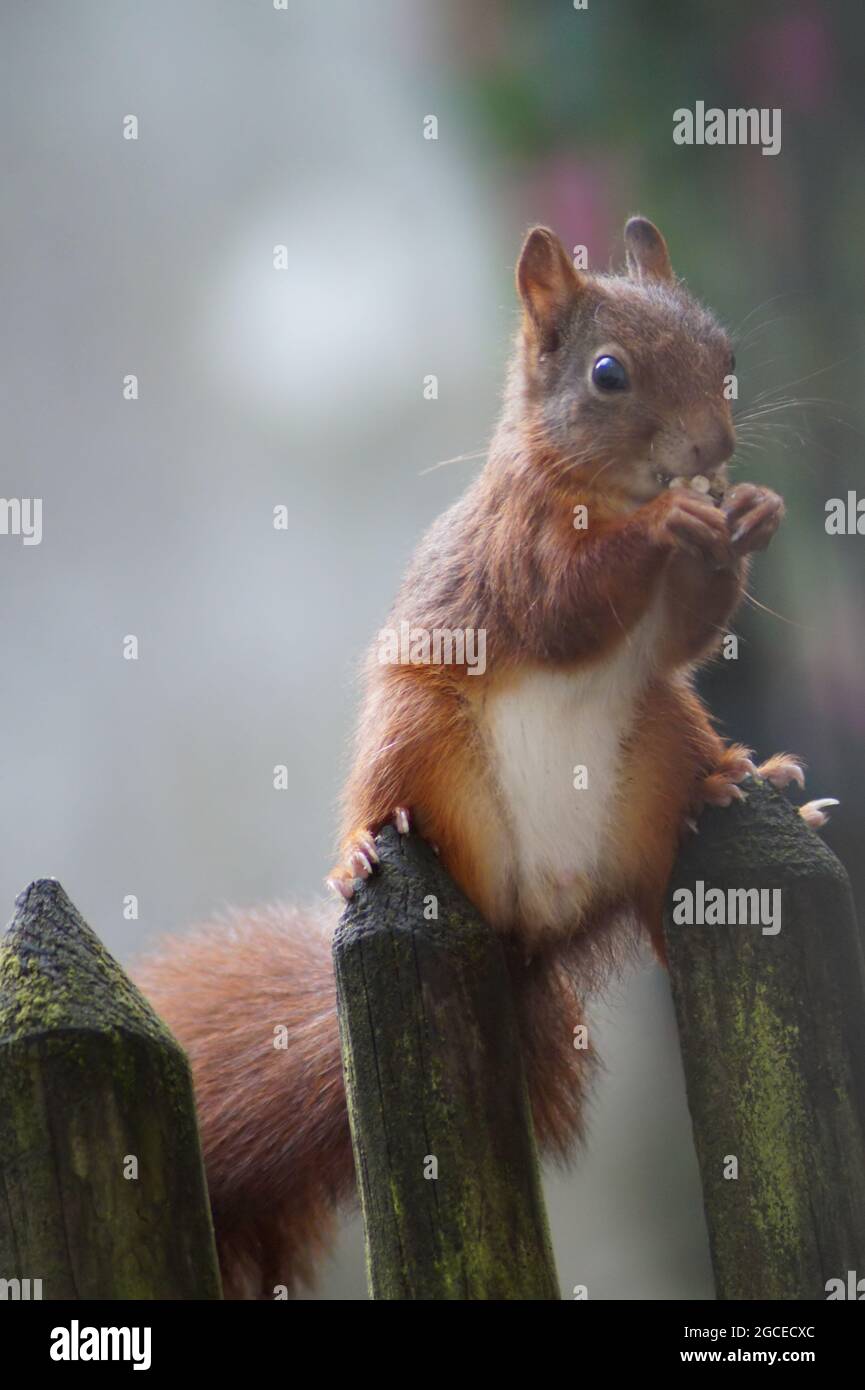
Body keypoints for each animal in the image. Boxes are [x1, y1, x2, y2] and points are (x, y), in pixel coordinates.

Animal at [134, 217, 835, 1298]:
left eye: (727, 358)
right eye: (606, 374)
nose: (713, 450)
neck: (600, 487)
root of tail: (536, 921)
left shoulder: (665, 645)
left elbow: (684, 633)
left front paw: (748, 514)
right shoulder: (517, 552)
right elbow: (565, 605)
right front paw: (668, 524)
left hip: (657, 732)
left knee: (670, 830)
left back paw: (746, 785)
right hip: (419, 730)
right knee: (392, 790)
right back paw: (360, 848)